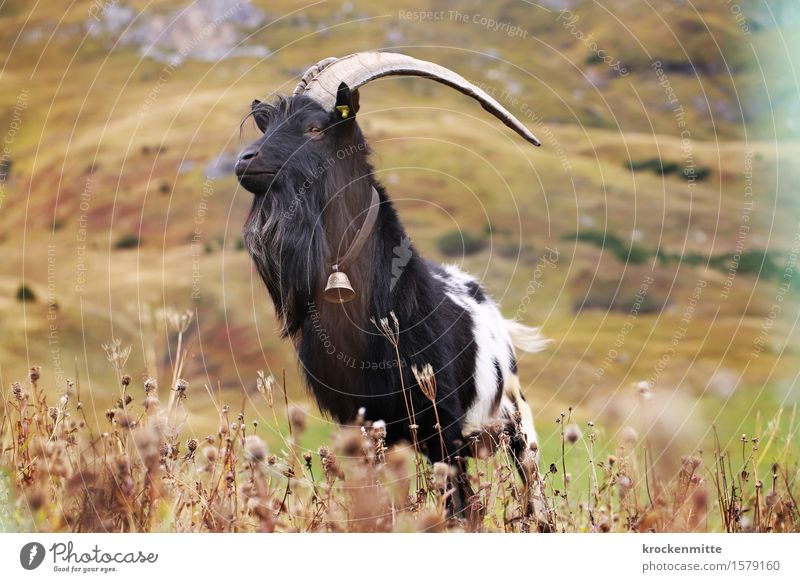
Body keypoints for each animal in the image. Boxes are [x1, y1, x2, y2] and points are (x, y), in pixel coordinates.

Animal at [238, 52, 548, 516]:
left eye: (314, 128)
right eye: (268, 125)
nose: (244, 160)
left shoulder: (443, 422)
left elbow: (461, 508)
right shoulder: (359, 423)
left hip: (513, 423)